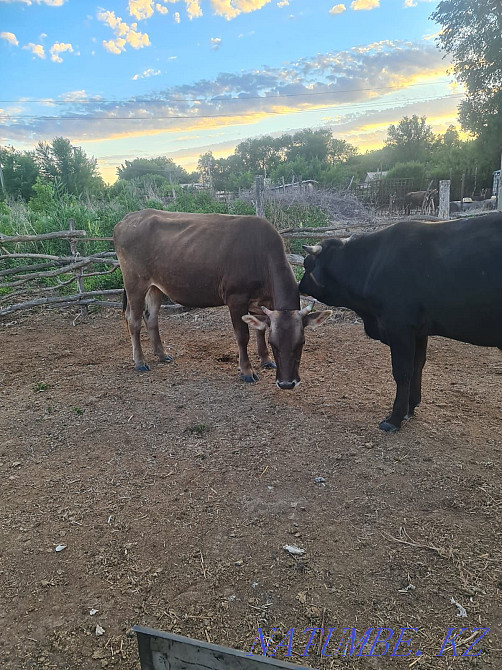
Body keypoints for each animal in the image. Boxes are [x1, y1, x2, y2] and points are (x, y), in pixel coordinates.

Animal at [113, 209, 331, 388]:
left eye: (301, 343)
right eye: (274, 344)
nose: (286, 383)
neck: (261, 255)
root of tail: (127, 218)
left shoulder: (263, 301)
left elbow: (260, 329)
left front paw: (265, 360)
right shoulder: (236, 298)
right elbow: (243, 335)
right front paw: (247, 371)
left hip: (155, 286)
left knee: (151, 317)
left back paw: (162, 354)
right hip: (134, 282)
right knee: (133, 320)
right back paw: (140, 362)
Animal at [299, 212, 502, 432]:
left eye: (306, 264)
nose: (299, 286)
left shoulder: (399, 327)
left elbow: (403, 372)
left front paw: (394, 418)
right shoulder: (419, 331)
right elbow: (417, 366)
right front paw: (410, 407)